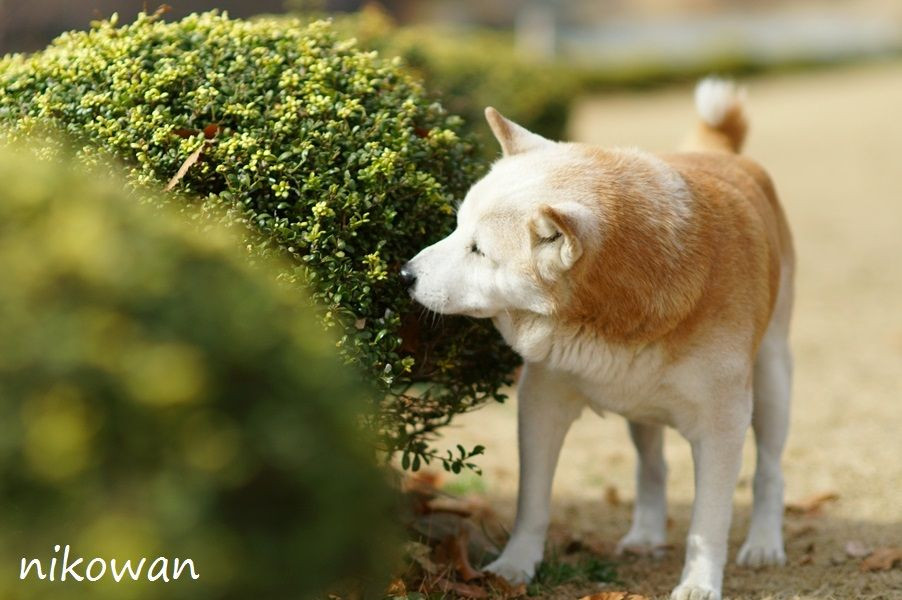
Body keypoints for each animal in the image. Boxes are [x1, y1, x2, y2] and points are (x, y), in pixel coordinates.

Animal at [404, 81, 800, 600]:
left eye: (479, 251)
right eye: (456, 228)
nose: (404, 274)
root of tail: (718, 151)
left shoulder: (722, 425)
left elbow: (708, 523)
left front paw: (699, 583)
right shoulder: (542, 403)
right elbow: (532, 503)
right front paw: (515, 564)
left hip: (771, 382)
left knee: (770, 470)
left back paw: (765, 543)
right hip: (643, 412)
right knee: (652, 467)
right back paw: (647, 534)